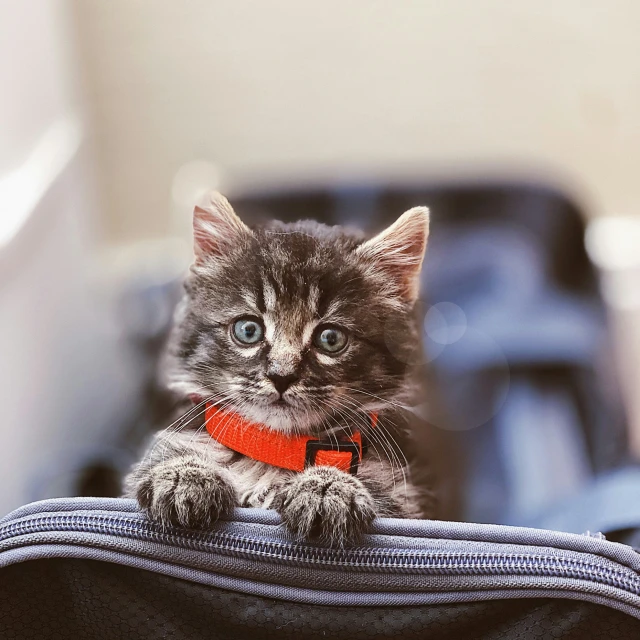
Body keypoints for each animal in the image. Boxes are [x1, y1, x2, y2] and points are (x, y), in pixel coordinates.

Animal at [122, 190, 432, 544]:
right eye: (248, 330)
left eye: (331, 338)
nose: (281, 376)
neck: (274, 450)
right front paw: (183, 473)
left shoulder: (402, 501)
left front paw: (328, 485)